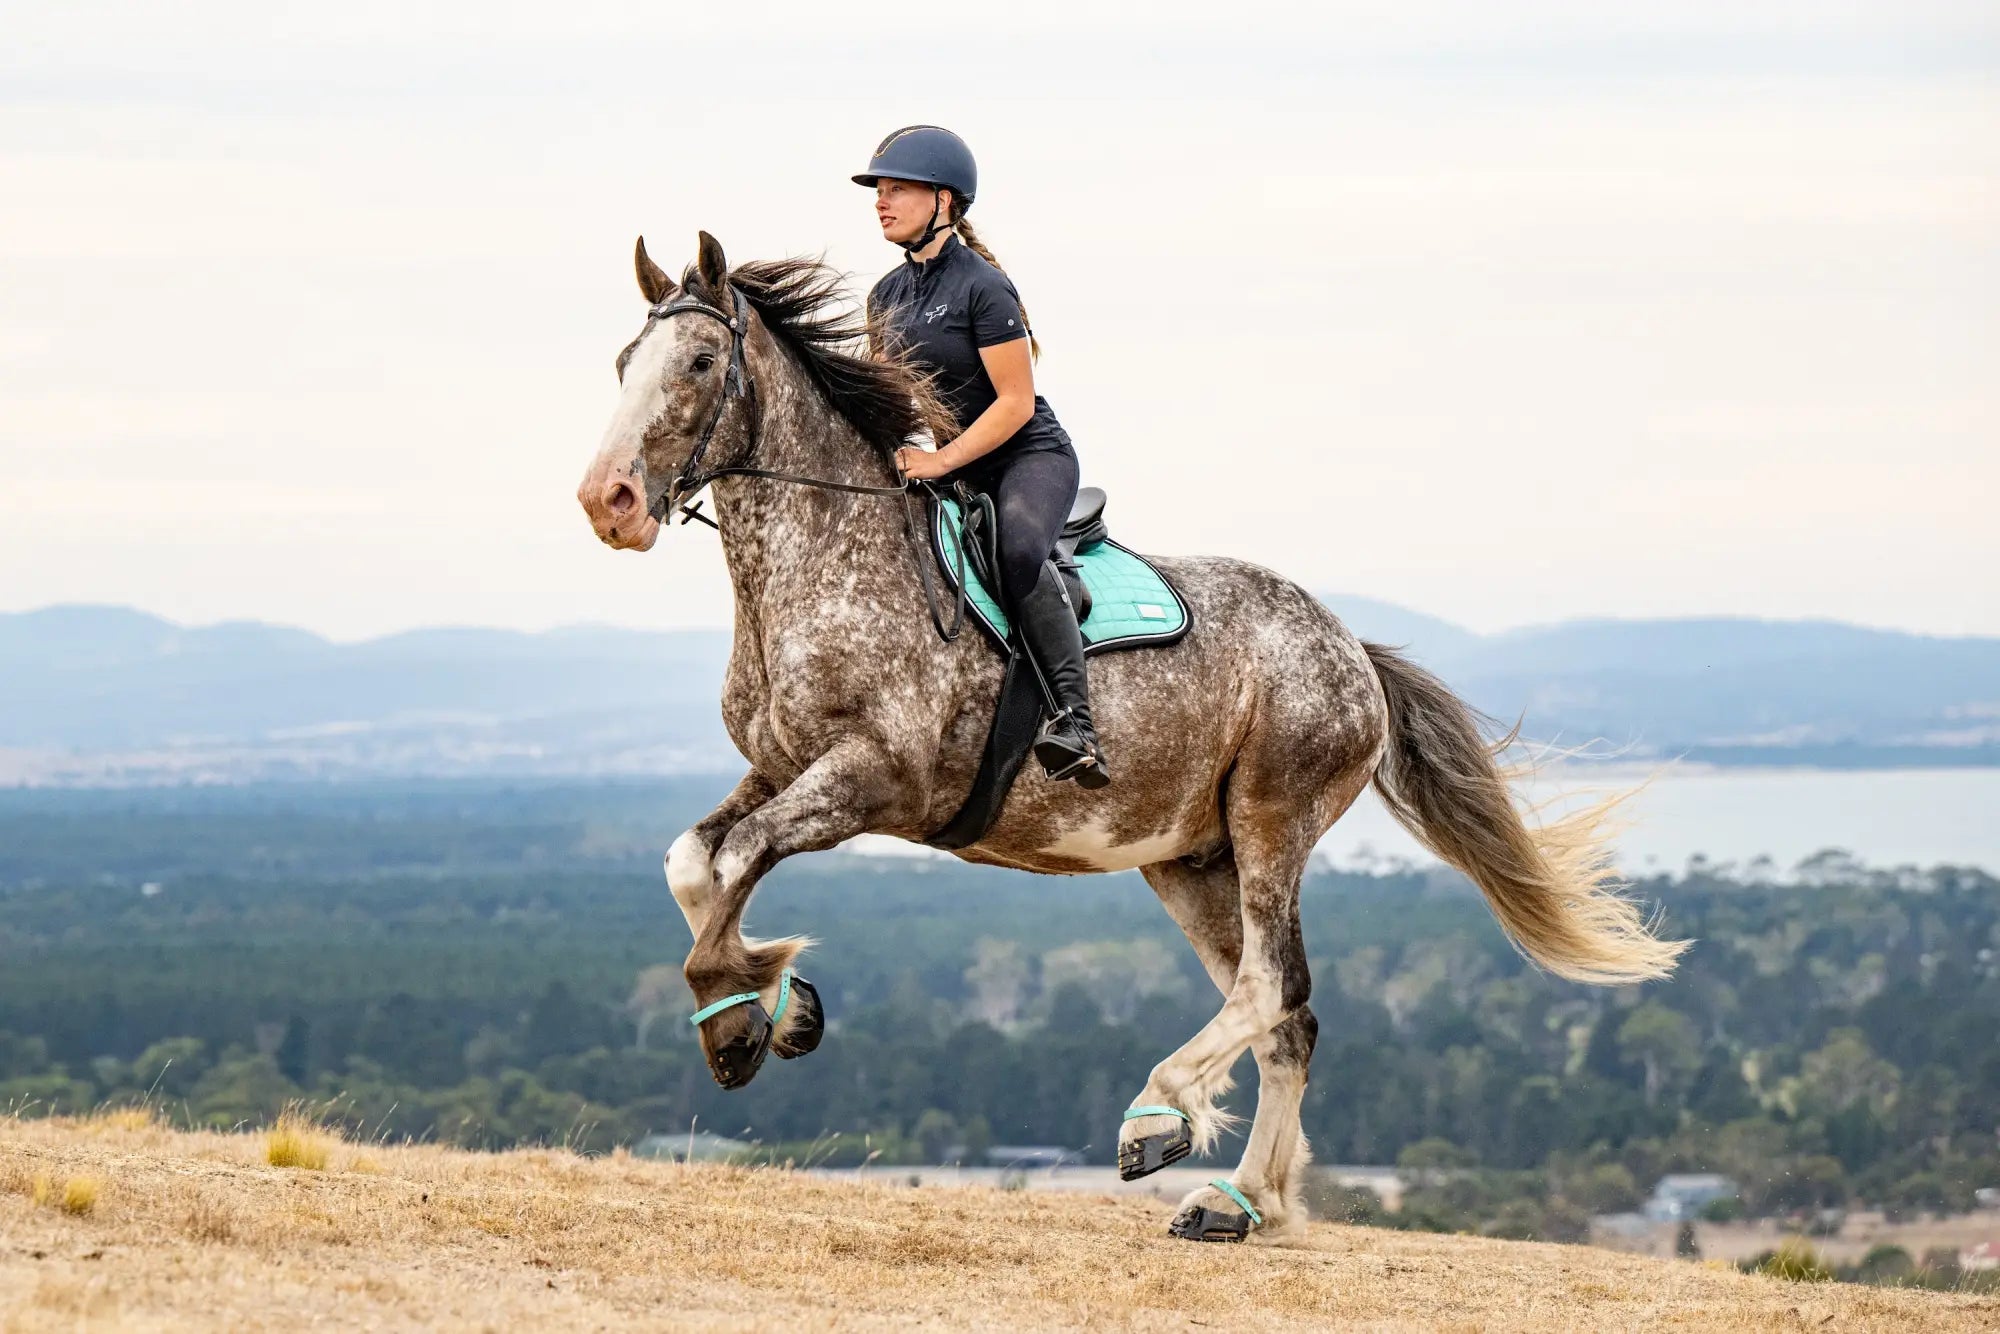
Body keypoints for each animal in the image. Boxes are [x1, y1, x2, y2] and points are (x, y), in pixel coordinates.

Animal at [575, 232, 1686, 1244]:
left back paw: (1159, 1121)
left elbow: (740, 857)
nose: (607, 502)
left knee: (1273, 984)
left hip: (1272, 816)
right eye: (626, 362)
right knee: (1286, 1015)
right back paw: (1241, 1202)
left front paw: (739, 1016)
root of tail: (1350, 648)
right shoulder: (777, 764)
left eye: (700, 363)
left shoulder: (871, 778)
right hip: (1187, 858)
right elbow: (694, 860)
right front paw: (774, 1005)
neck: (824, 559)